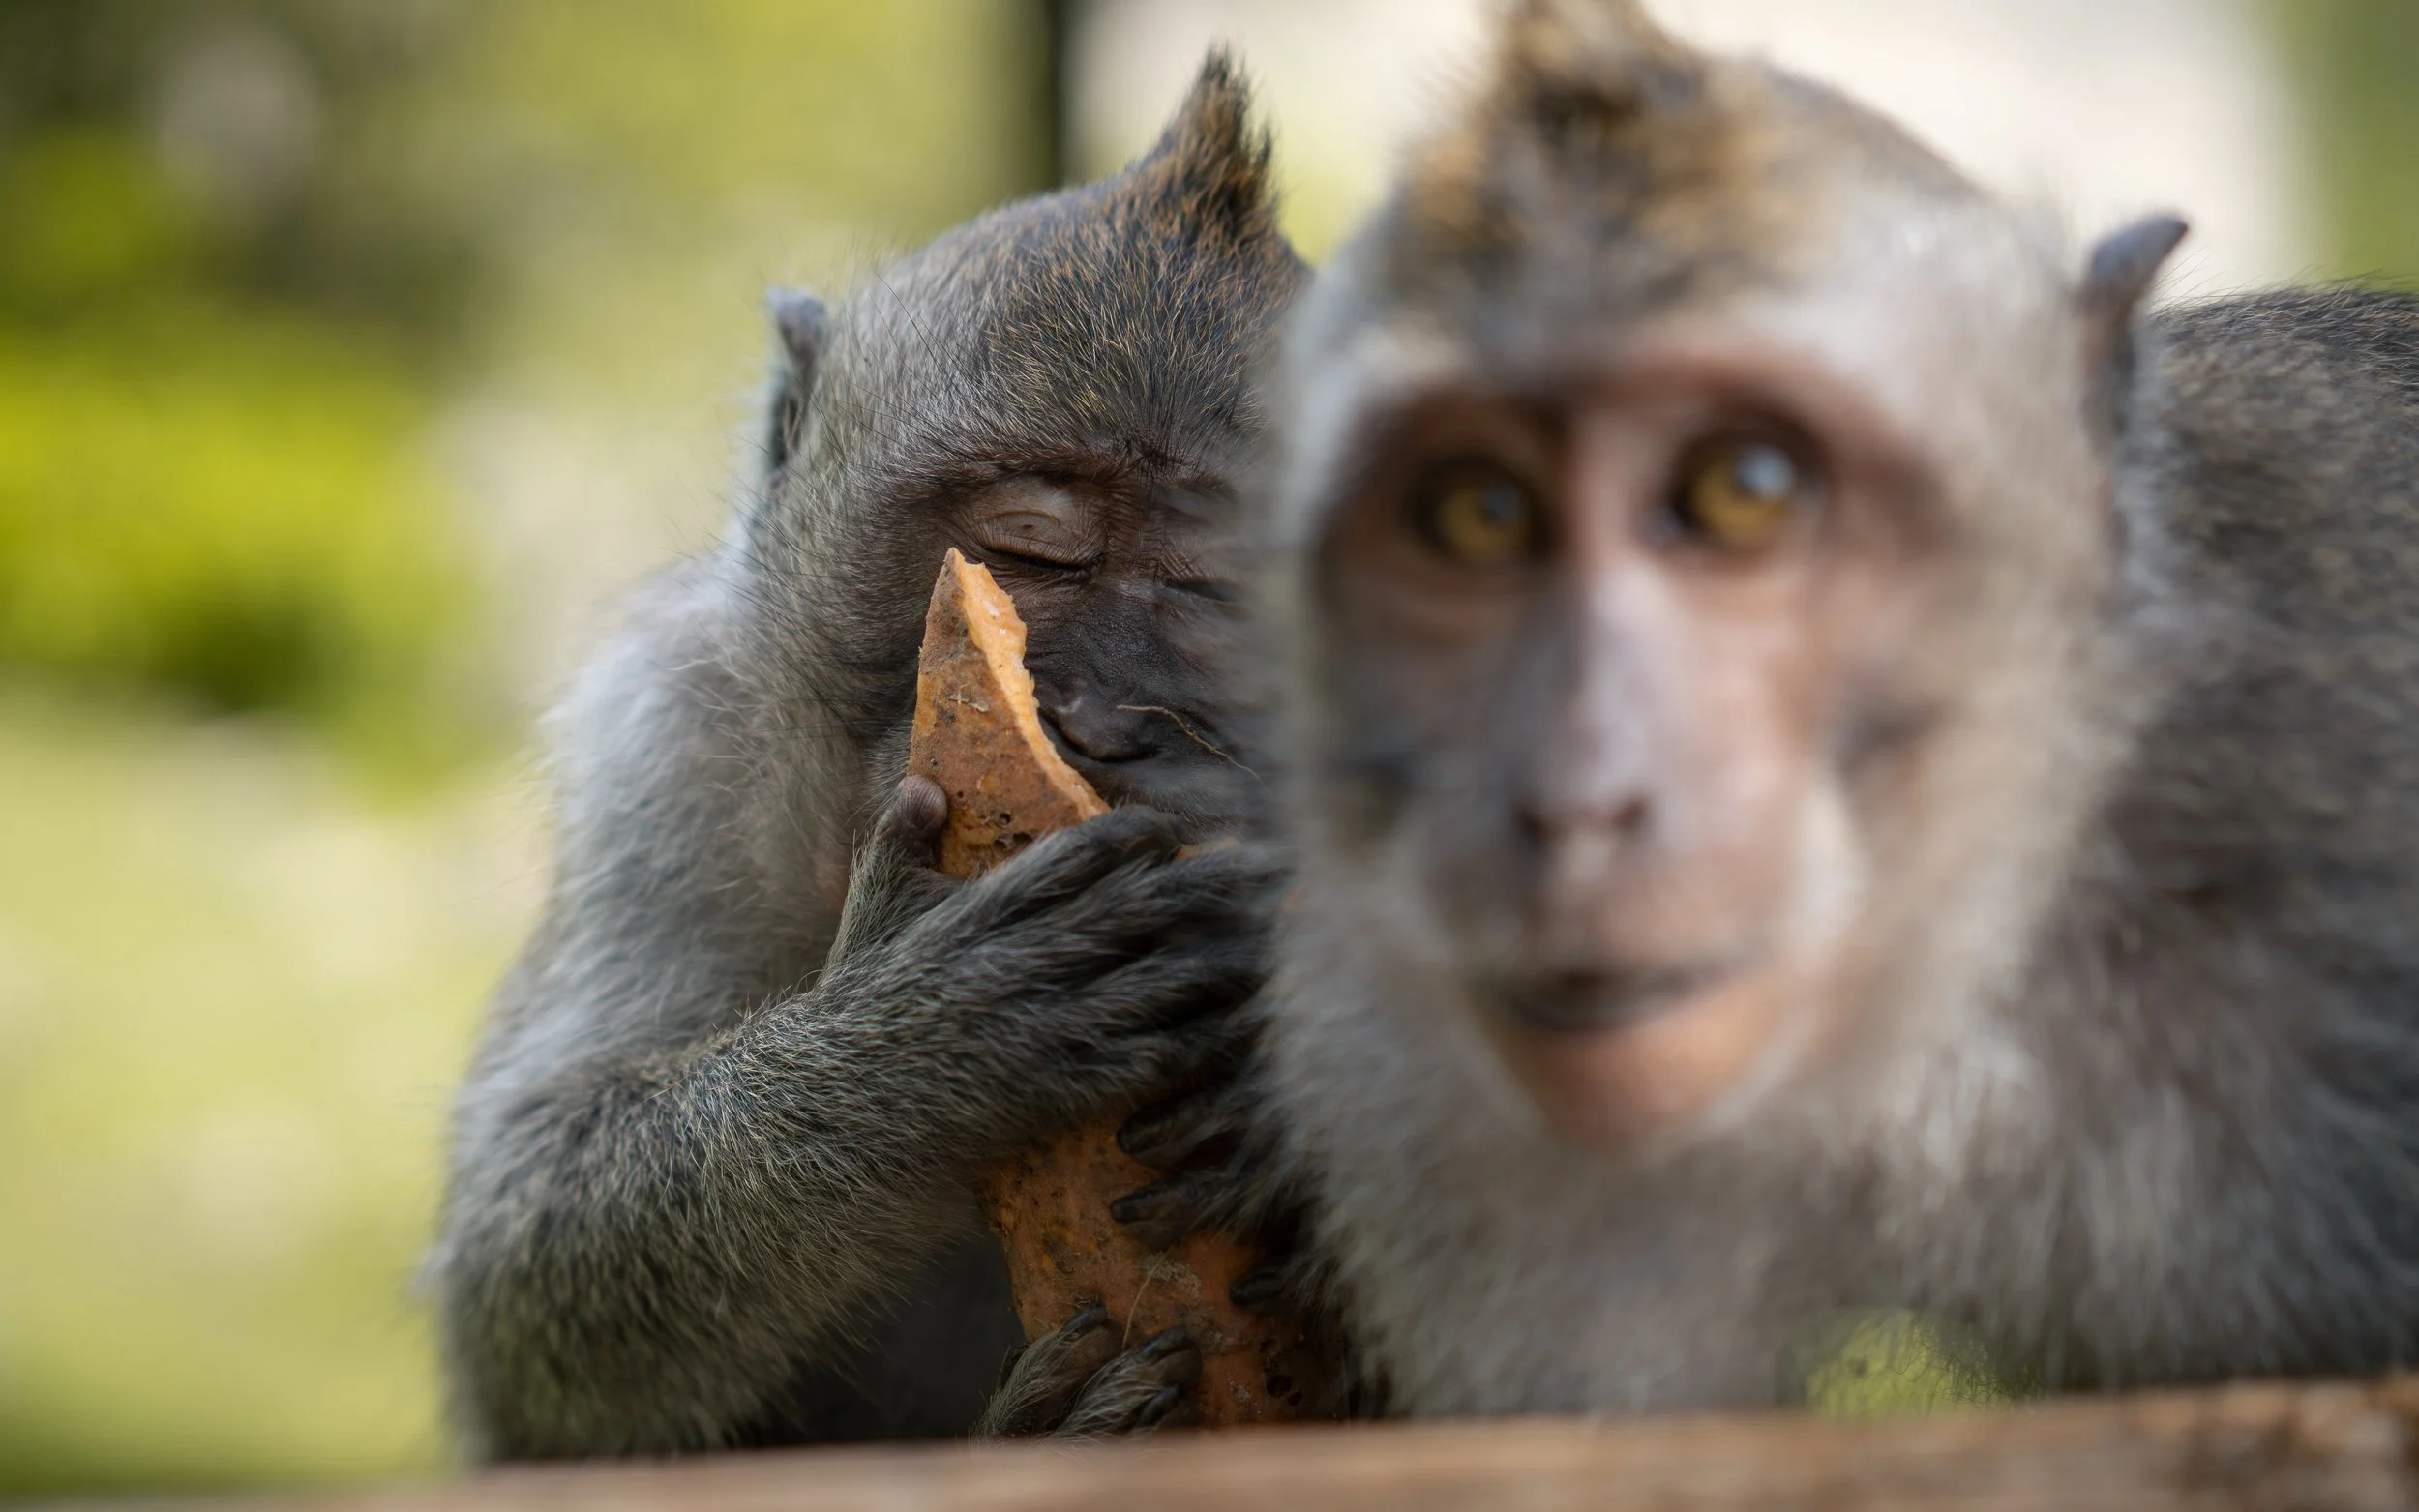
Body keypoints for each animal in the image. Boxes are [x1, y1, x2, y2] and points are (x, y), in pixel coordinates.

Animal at [427, 55, 1307, 1458]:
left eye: (1218, 584)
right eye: (1027, 541)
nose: (1096, 720)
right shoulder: (668, 745)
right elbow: (520, 1278)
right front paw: (919, 1051)